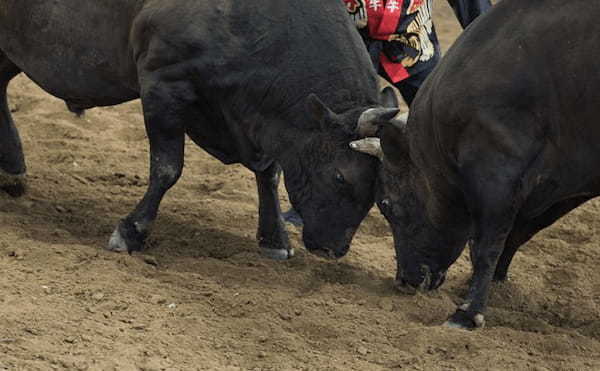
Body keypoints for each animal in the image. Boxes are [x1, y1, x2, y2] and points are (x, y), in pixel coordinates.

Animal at [0, 0, 398, 258]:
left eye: (377, 190)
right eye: (340, 177)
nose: (334, 249)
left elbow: (269, 173)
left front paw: (275, 238)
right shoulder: (163, 84)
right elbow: (166, 169)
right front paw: (131, 231)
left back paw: (12, 170)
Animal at [352, 0, 600, 332]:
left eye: (386, 205)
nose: (405, 280)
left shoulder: (497, 174)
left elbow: (488, 245)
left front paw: (468, 313)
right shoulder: (564, 182)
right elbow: (517, 233)